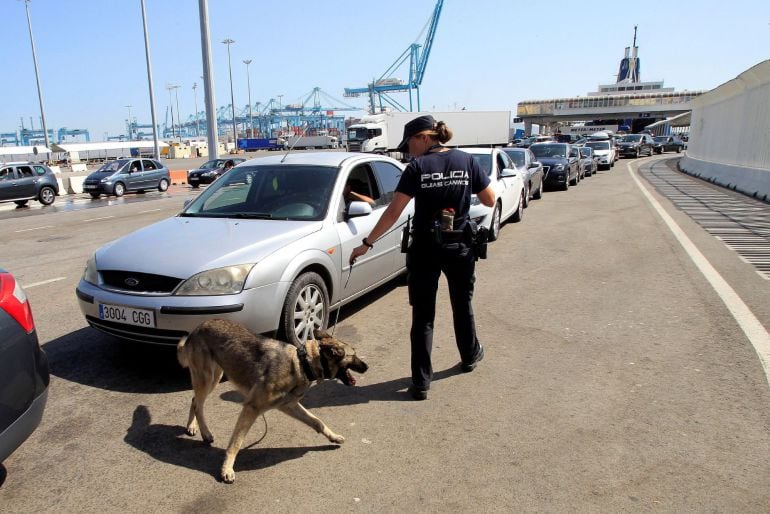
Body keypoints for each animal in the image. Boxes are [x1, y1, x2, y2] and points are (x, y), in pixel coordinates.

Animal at [176, 318, 368, 482]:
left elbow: (317, 421)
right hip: (207, 379)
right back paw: (205, 433)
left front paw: (333, 437)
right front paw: (227, 469)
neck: (302, 364)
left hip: (215, 377)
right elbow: (236, 443)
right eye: (354, 355)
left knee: (194, 400)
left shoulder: (289, 405)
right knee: (198, 404)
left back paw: (192, 426)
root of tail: (196, 328)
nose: (367, 367)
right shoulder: (252, 408)